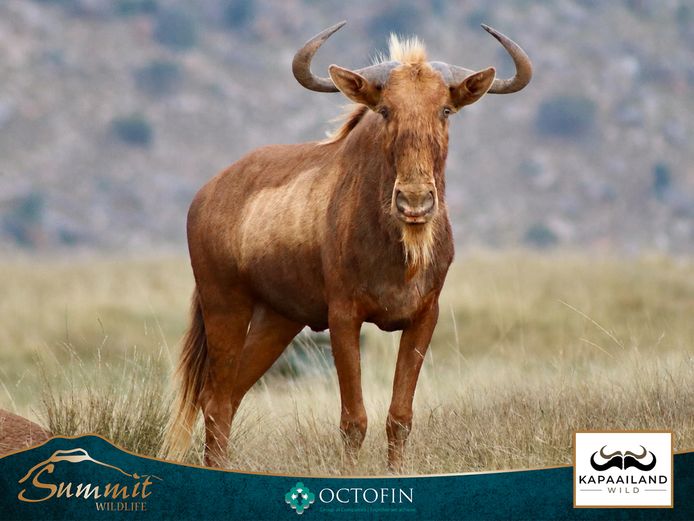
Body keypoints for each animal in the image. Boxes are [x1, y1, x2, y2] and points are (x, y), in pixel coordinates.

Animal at [164, 21, 532, 470]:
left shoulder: (424, 317)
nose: (414, 203)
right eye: (385, 109)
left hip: (278, 320)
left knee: (229, 394)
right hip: (225, 305)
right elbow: (353, 420)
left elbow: (400, 416)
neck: (398, 251)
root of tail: (206, 194)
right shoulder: (343, 318)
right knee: (215, 399)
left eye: (445, 110)